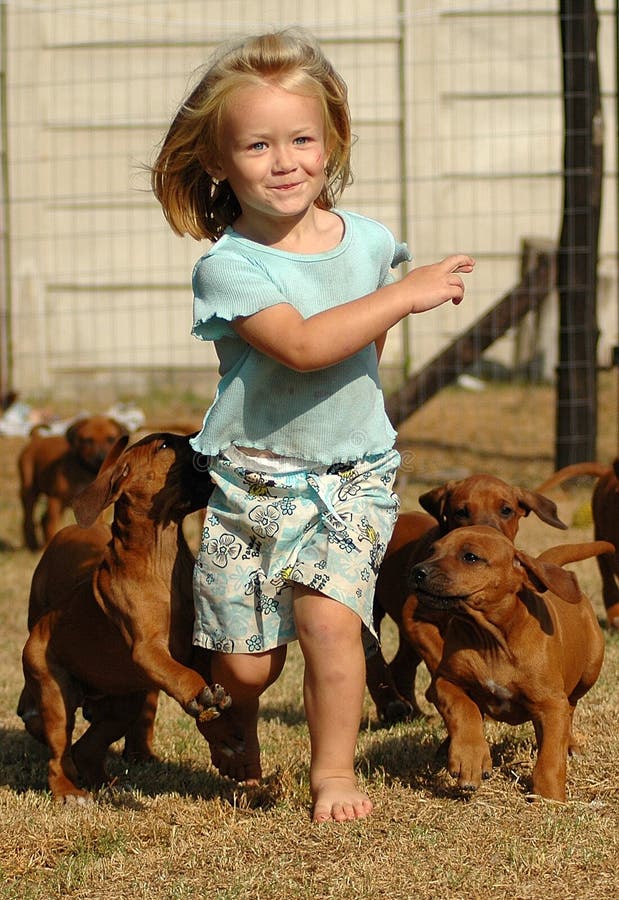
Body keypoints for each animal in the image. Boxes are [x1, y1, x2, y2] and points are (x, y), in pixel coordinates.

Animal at [17, 414, 128, 548]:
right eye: (88, 440)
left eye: (111, 439)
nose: (101, 458)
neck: (87, 473)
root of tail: (37, 438)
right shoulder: (56, 500)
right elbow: (51, 526)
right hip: (29, 489)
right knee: (29, 518)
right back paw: (33, 544)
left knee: (42, 519)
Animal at [21, 430, 232, 800]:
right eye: (165, 446)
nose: (202, 438)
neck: (160, 557)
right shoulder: (147, 649)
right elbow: (182, 674)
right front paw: (200, 694)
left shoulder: (192, 643)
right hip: (55, 692)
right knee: (59, 752)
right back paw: (69, 792)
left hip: (124, 701)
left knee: (86, 748)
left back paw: (105, 784)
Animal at [368, 474, 568, 720]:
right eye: (460, 511)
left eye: (506, 510)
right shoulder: (414, 620)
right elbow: (439, 657)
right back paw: (392, 704)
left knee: (401, 665)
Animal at [406, 528, 612, 800]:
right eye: (432, 550)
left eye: (470, 557)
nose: (417, 571)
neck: (492, 639)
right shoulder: (444, 681)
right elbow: (463, 710)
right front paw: (469, 758)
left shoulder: (551, 702)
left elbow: (550, 757)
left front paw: (549, 798)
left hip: (588, 673)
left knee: (569, 710)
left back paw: (570, 744)